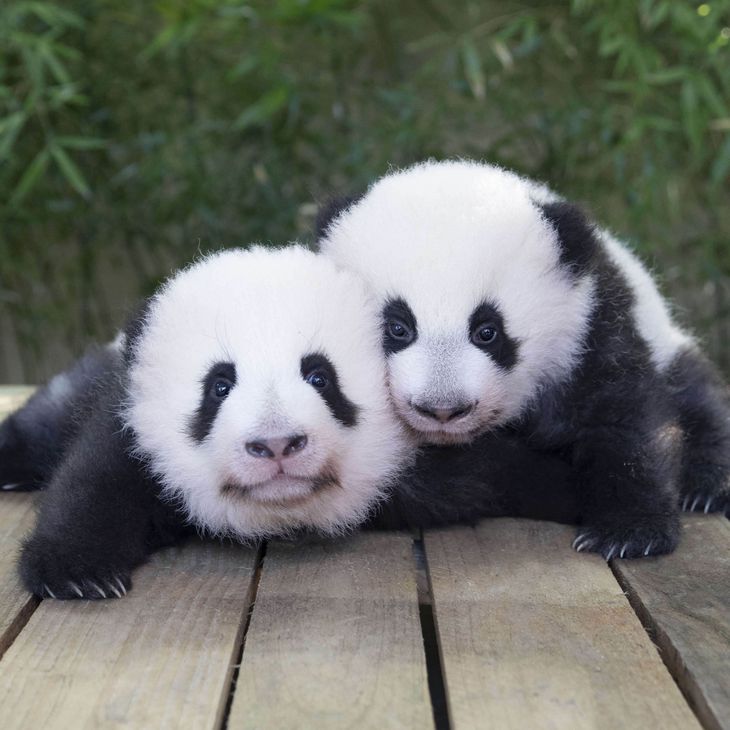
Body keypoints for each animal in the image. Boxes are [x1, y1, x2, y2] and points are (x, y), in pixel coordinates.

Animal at [3, 243, 578, 599]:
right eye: (219, 386)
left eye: (320, 377)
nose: (277, 444)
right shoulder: (131, 424)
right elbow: (95, 483)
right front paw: (74, 572)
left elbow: (496, 471)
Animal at [317, 159, 730, 559]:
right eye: (398, 328)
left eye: (487, 331)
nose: (443, 409)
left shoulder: (590, 326)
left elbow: (625, 415)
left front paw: (629, 532)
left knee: (697, 395)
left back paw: (708, 486)